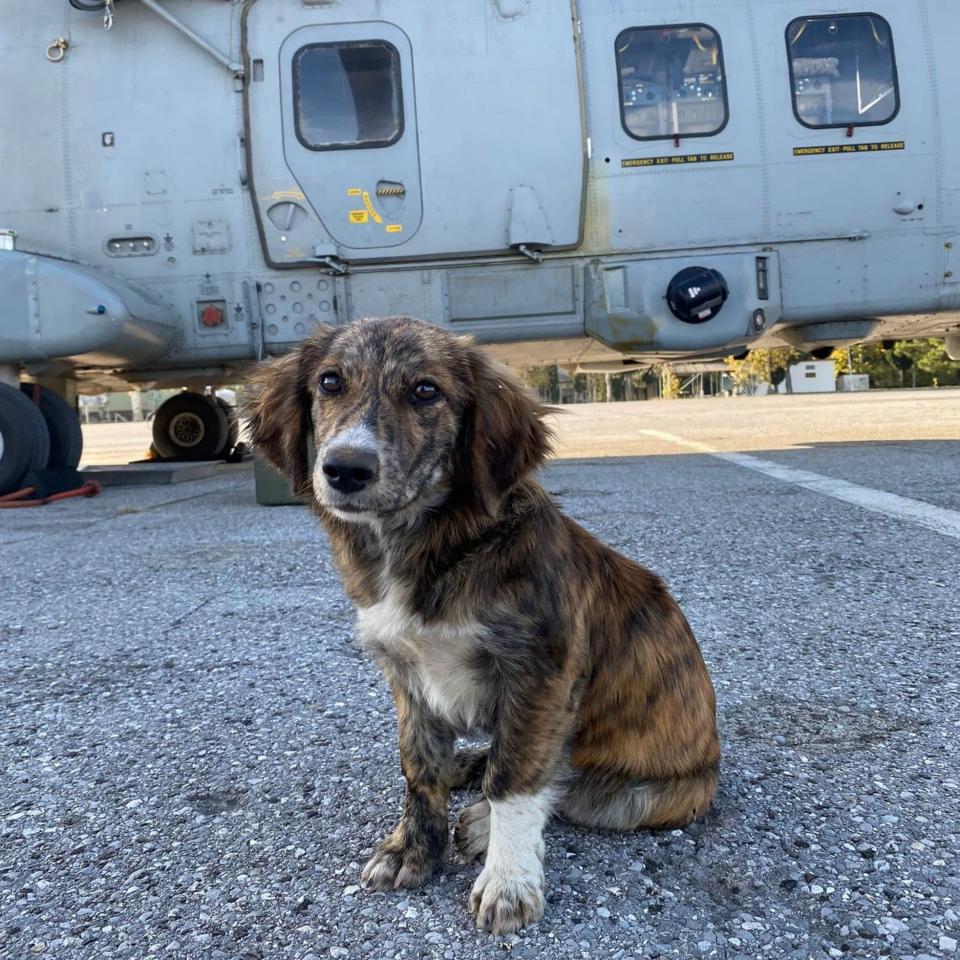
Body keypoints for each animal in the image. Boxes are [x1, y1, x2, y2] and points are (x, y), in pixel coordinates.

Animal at [248, 318, 720, 932]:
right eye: (330, 382)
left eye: (426, 391)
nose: (346, 468)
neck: (429, 542)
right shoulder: (407, 674)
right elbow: (418, 767)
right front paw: (412, 849)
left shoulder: (538, 673)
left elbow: (516, 782)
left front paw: (508, 880)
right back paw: (467, 768)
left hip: (650, 797)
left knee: (563, 785)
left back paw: (479, 822)